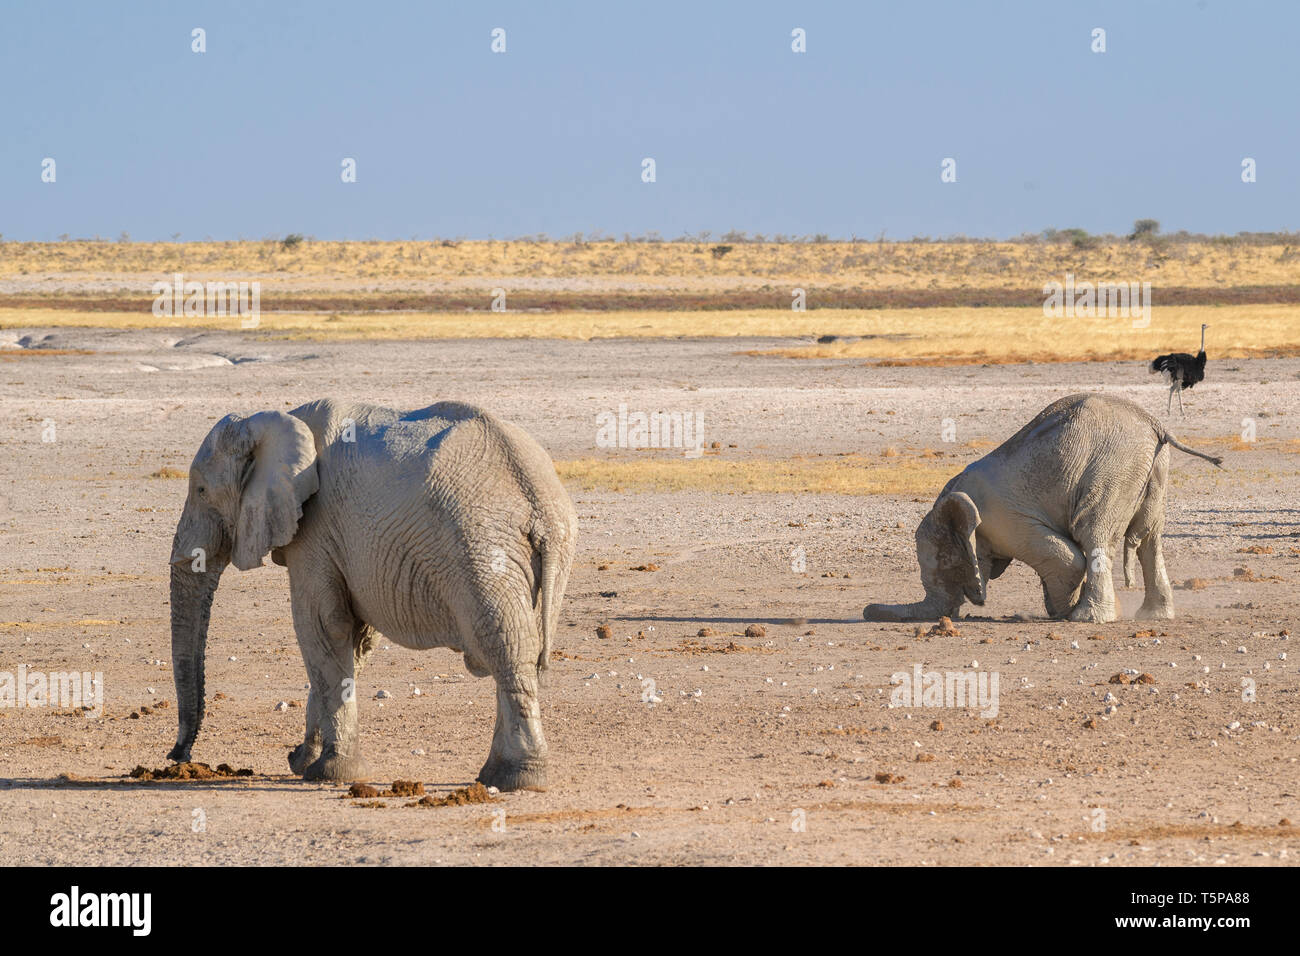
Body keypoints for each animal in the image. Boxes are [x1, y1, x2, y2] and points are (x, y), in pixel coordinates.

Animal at [165, 398, 577, 790]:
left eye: (201, 491)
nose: (177, 757)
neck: (271, 420)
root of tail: (541, 503)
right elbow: (355, 641)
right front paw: (303, 761)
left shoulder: (316, 529)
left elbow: (322, 625)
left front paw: (330, 772)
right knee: (522, 647)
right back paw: (494, 775)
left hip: (482, 550)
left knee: (507, 647)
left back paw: (515, 779)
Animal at [863, 392, 1216, 624]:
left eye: (943, 568)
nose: (866, 611)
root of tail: (1154, 424)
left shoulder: (1004, 522)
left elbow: (1067, 559)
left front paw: (1063, 611)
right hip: (1153, 470)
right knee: (1150, 539)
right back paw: (1153, 616)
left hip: (1114, 466)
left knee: (1094, 532)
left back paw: (1087, 619)